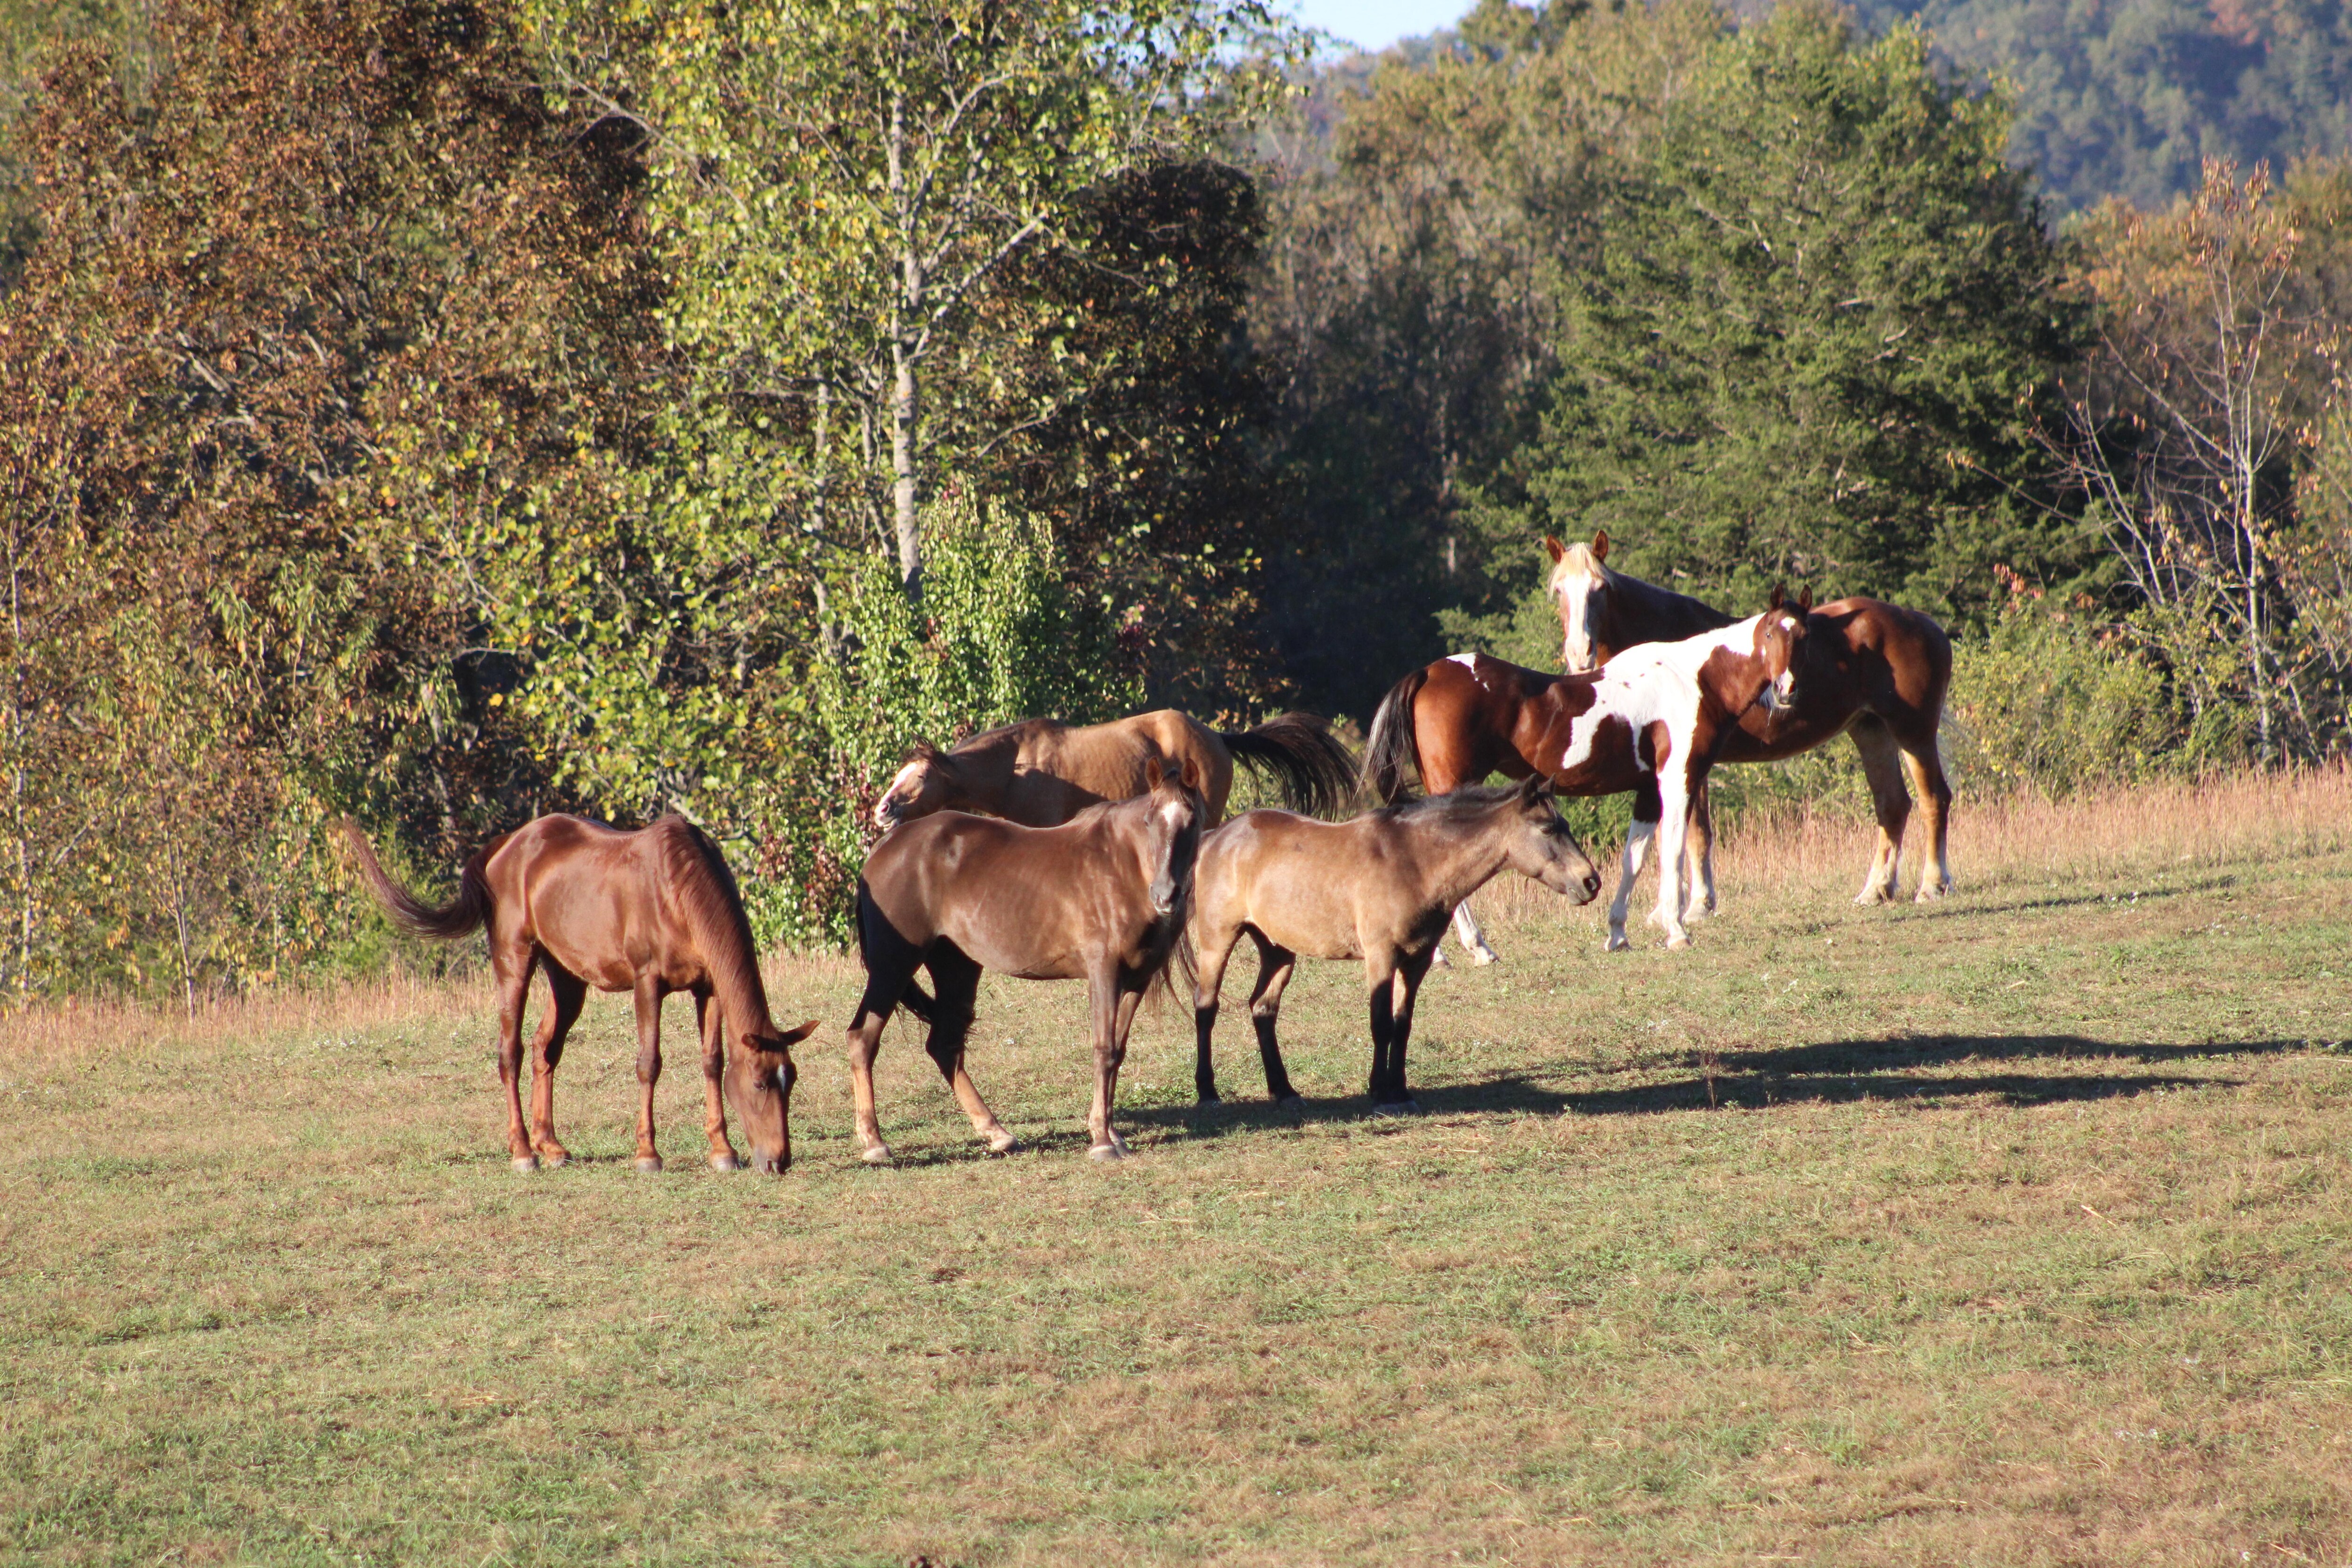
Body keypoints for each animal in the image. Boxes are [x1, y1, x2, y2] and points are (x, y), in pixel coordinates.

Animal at [340, 815, 819, 1174]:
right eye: (759, 1083)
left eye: (791, 1079)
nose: (779, 1161)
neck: (676, 886)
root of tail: (503, 848)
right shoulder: (648, 983)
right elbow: (649, 1064)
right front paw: (648, 1154)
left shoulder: (709, 988)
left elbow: (712, 1061)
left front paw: (723, 1150)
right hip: (514, 959)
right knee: (510, 1051)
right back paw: (523, 1152)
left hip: (567, 978)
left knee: (545, 1047)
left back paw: (550, 1145)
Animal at [848, 756, 1207, 1164]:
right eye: (1149, 821)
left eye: (1192, 821)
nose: (1165, 895)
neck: (1124, 864)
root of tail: (884, 848)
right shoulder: (1104, 972)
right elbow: (1103, 1048)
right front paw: (1102, 1140)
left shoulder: (1136, 980)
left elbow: (1117, 1051)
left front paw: (1113, 1135)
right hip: (893, 964)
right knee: (863, 1038)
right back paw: (874, 1142)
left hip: (957, 967)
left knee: (944, 1046)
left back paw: (996, 1132)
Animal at [1188, 779, 1602, 1112]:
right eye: (1548, 828)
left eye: (1565, 825)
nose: (1591, 882)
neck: (1414, 861)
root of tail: (1216, 837)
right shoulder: (1381, 957)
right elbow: (1381, 1024)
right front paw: (1380, 1093)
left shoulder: (1417, 960)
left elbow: (1403, 1025)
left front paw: (1400, 1090)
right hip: (1217, 942)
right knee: (1207, 1008)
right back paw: (1208, 1092)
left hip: (1278, 950)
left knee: (1263, 1009)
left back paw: (1284, 1090)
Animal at [1361, 593, 1814, 952]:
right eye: (1770, 633)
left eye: (1803, 636)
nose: (1788, 689)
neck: (1693, 679)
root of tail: (1429, 672)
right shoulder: (1678, 781)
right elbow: (1673, 851)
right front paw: (1676, 930)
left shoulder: (1648, 791)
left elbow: (1635, 858)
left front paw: (1617, 934)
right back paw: (1476, 948)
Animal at [1544, 531, 1955, 913]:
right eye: (1560, 590)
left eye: (1601, 588)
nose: (1580, 655)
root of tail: (1925, 623)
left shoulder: (1689, 763)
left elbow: (1694, 832)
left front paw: (1697, 905)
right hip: (1872, 730)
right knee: (1892, 804)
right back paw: (1876, 890)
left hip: (1913, 731)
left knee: (1933, 798)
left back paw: (1932, 886)